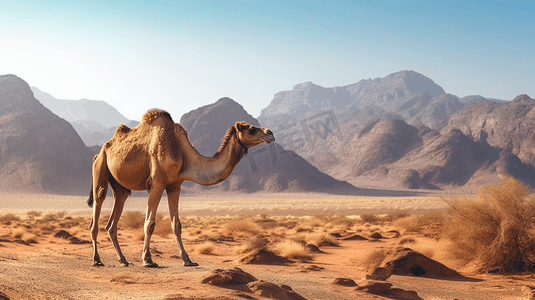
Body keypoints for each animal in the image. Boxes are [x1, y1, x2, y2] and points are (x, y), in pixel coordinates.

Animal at [88, 109, 276, 268]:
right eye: (250, 128)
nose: (270, 133)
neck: (182, 152)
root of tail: (100, 151)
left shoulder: (175, 186)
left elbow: (176, 224)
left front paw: (188, 260)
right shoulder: (157, 183)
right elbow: (149, 223)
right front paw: (148, 260)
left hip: (119, 186)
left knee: (115, 214)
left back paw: (123, 260)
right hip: (100, 167)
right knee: (98, 204)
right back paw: (97, 260)